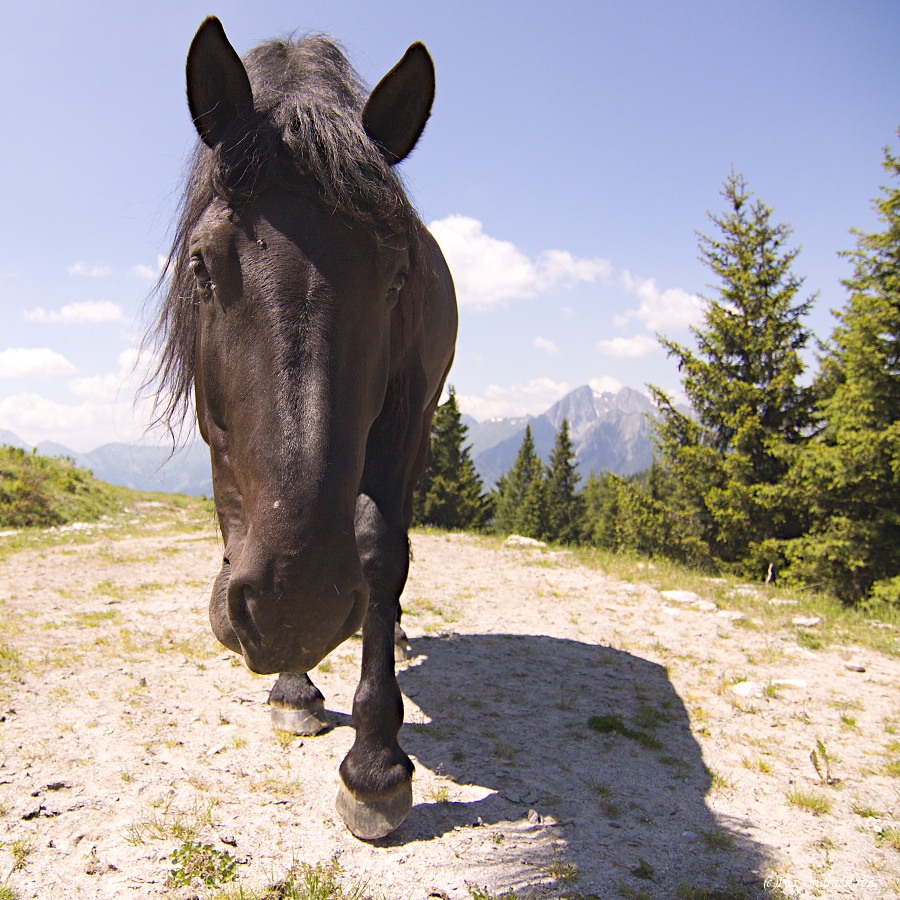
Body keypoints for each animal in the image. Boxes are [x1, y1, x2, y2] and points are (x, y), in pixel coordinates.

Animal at [149, 17, 460, 840]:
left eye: (396, 278)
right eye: (202, 266)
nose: (302, 603)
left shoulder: (404, 424)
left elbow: (382, 549)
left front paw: (376, 764)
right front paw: (294, 684)